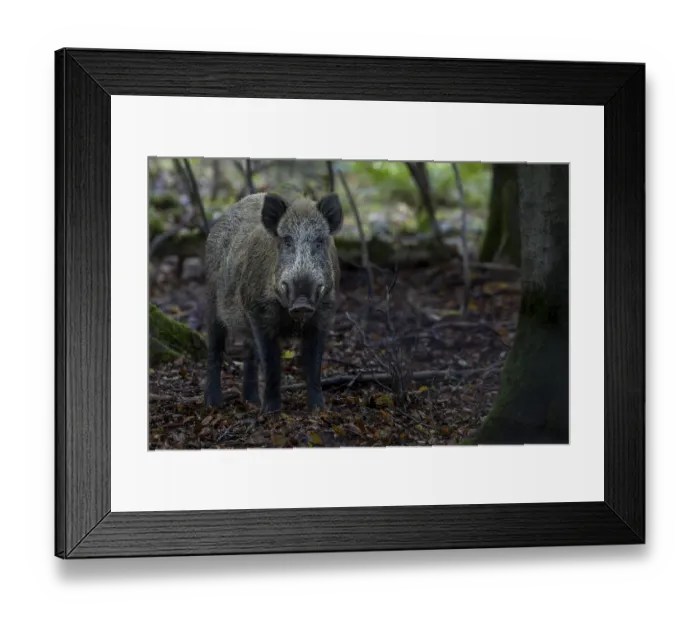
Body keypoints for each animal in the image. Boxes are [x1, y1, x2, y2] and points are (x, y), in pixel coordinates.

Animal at [204, 191, 343, 413]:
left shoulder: (324, 314)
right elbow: (271, 362)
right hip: (211, 300)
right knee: (215, 348)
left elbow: (314, 364)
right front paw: (271, 412)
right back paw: (213, 404)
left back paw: (251, 401)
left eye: (320, 241)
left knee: (250, 353)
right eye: (286, 241)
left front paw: (318, 409)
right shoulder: (258, 311)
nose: (302, 301)